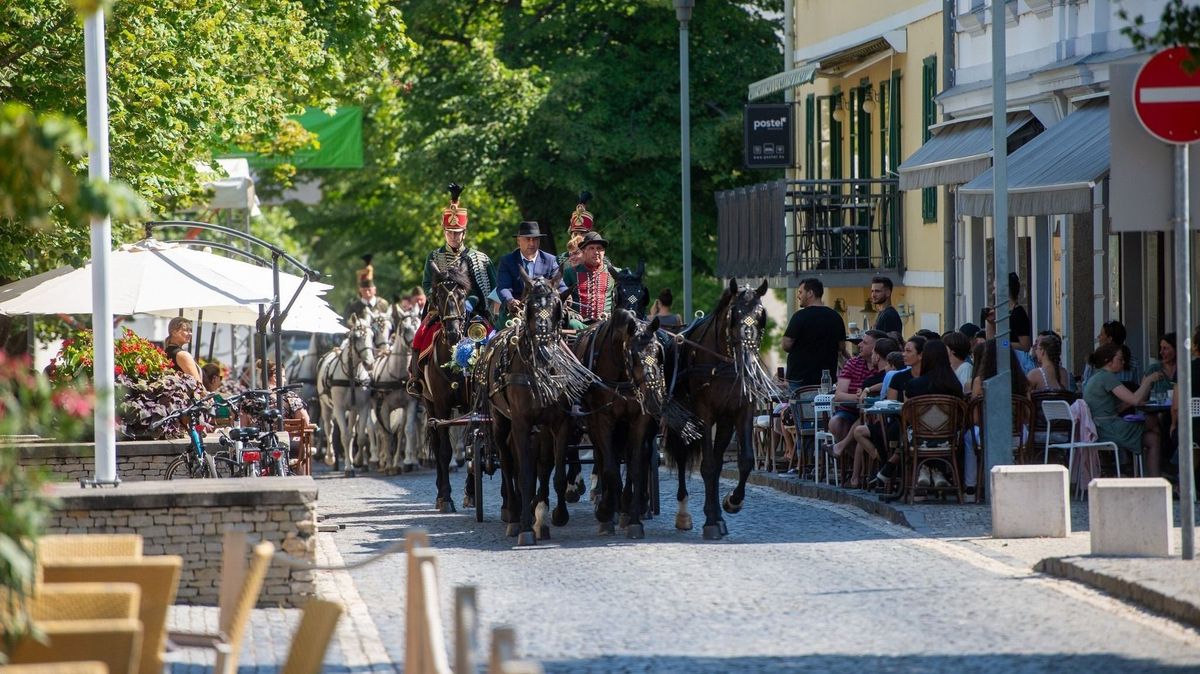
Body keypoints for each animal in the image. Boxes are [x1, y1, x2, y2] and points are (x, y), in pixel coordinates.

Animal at [316, 314, 376, 472]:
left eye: (372, 336)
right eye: (356, 337)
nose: (370, 364)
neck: (351, 377)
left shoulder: (363, 407)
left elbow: (360, 437)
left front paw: (358, 461)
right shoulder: (339, 408)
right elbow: (344, 437)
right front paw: (349, 467)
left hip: (353, 410)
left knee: (352, 432)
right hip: (325, 406)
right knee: (329, 428)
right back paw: (330, 457)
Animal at [369, 309, 427, 472]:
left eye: (419, 325)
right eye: (405, 328)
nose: (416, 347)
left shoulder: (411, 404)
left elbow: (408, 430)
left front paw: (408, 461)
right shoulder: (384, 407)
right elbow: (387, 433)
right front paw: (388, 465)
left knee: (401, 433)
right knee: (377, 429)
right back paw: (382, 461)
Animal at [662, 275, 772, 537]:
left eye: (761, 315)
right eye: (734, 314)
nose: (748, 359)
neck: (725, 362)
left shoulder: (742, 411)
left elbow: (745, 460)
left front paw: (732, 502)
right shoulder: (704, 413)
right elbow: (708, 465)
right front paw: (711, 521)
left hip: (723, 421)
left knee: (719, 459)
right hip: (682, 418)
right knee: (682, 456)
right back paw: (684, 514)